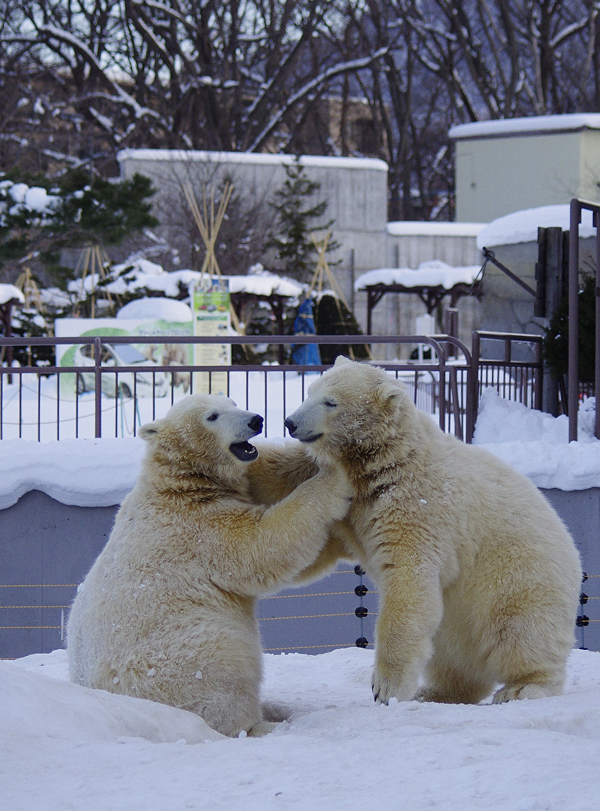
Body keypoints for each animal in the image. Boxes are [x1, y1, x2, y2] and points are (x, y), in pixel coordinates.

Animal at [68, 396, 352, 740]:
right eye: (212, 416)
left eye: (233, 401)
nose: (256, 419)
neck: (179, 484)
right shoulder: (199, 529)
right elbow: (262, 546)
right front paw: (335, 476)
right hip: (177, 659)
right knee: (226, 664)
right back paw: (262, 723)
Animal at [278, 358, 584, 708]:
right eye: (310, 391)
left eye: (331, 402)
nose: (290, 422)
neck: (394, 459)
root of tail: (574, 554)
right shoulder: (356, 510)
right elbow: (313, 549)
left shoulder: (418, 509)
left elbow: (409, 582)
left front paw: (385, 689)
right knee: (451, 652)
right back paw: (436, 692)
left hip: (519, 574)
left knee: (520, 629)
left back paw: (522, 687)